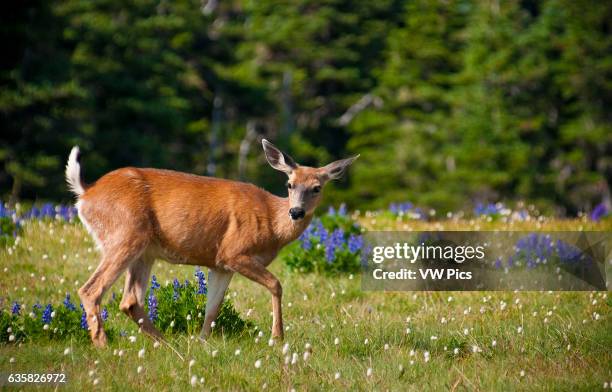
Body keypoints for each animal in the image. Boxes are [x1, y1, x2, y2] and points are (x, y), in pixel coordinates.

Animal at [65, 139, 358, 348]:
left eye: (317, 187)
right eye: (289, 184)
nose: (296, 212)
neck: (272, 224)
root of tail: (85, 194)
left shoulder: (220, 264)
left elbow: (212, 307)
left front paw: (202, 341)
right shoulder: (234, 252)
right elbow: (276, 284)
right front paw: (278, 337)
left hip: (144, 252)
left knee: (130, 301)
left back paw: (168, 346)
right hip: (125, 235)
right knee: (91, 290)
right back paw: (103, 345)